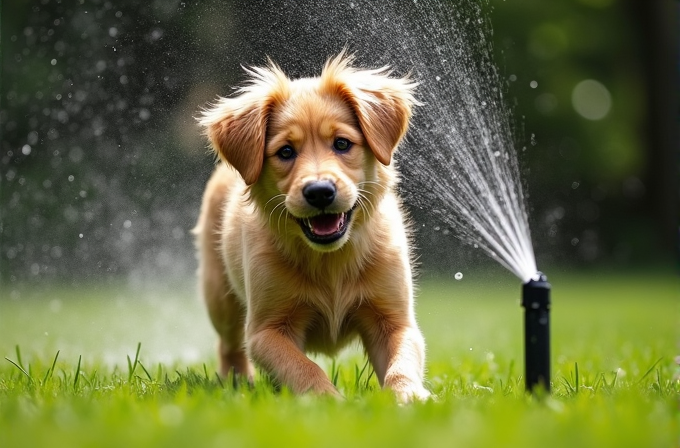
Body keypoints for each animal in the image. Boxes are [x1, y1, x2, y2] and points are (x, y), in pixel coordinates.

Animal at [194, 53, 428, 402]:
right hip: (219, 296)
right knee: (229, 344)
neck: (330, 258)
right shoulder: (265, 330)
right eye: (285, 152)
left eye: (342, 143)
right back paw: (238, 385)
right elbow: (302, 367)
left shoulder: (395, 320)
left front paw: (409, 397)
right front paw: (328, 402)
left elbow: (403, 361)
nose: (319, 192)